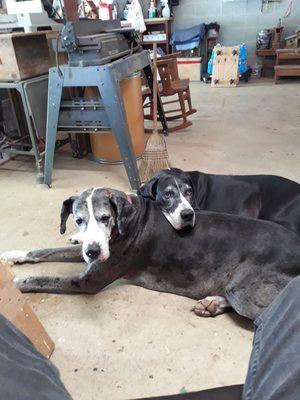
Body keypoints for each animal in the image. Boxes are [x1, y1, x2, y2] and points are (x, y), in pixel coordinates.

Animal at [2, 188, 300, 322]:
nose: (93, 251)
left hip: (244, 290)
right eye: (78, 220)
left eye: (105, 218)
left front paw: (13, 283)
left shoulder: (88, 280)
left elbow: (41, 279)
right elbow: (44, 250)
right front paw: (14, 256)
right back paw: (211, 304)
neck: (129, 218)